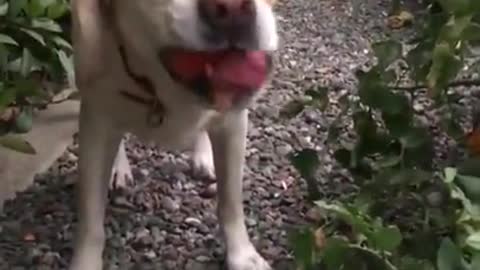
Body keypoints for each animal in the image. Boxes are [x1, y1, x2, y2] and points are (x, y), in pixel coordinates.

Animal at [68, 0, 278, 270]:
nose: (232, 8)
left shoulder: (233, 124)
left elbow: (231, 202)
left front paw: (241, 255)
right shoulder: (95, 121)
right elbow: (91, 218)